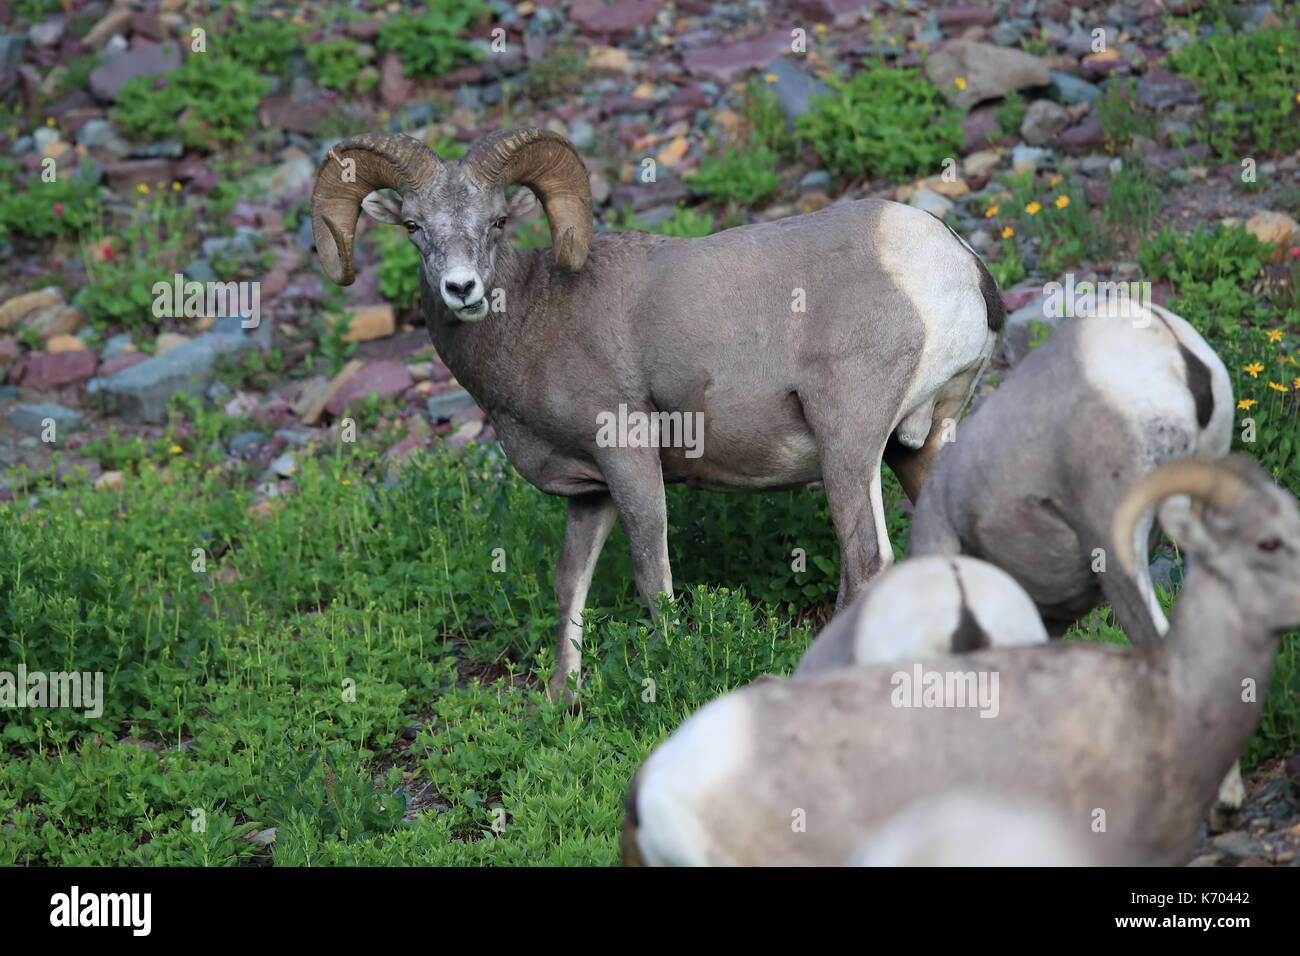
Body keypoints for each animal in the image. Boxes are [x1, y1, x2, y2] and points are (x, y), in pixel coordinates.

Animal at [312, 127, 1003, 697]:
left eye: (498, 221)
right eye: (413, 226)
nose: (462, 290)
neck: (536, 318)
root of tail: (954, 264)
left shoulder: (628, 456)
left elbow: (653, 574)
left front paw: (669, 666)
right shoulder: (589, 492)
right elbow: (570, 581)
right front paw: (563, 697)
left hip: (849, 444)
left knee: (866, 559)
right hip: (918, 445)